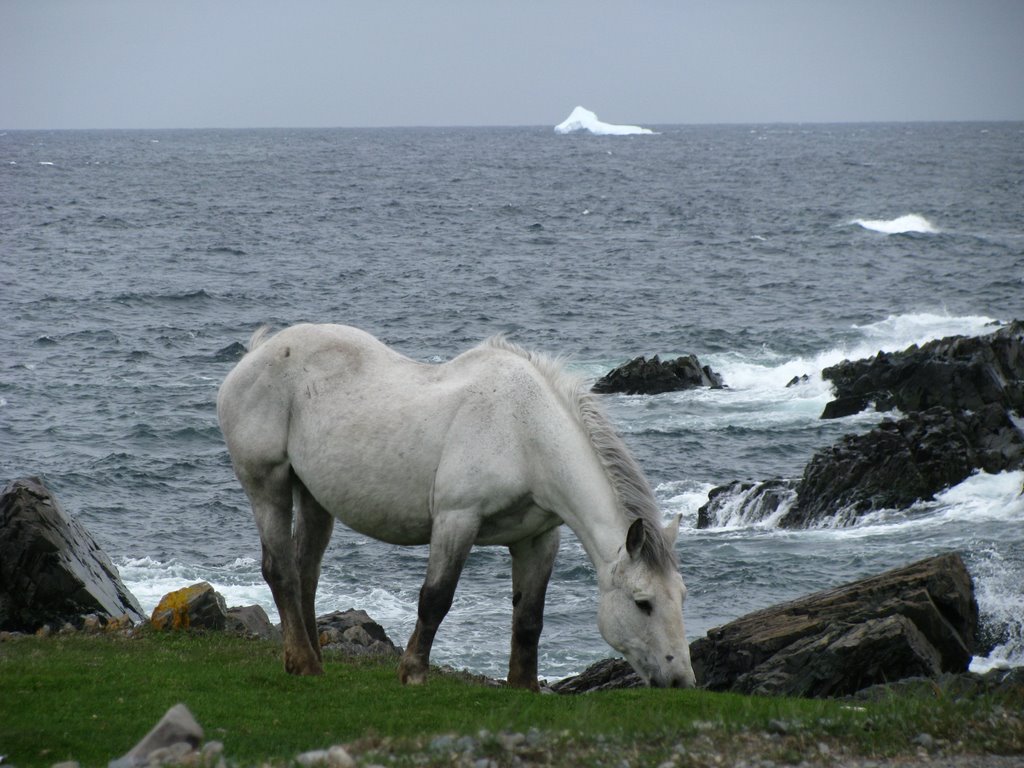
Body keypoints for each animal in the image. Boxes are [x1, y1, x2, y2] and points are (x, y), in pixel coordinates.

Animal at [216, 325, 696, 692]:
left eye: (681, 597)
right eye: (643, 603)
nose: (681, 680)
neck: (525, 433)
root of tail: (256, 353)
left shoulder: (538, 539)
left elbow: (529, 618)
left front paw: (523, 686)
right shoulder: (456, 520)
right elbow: (435, 599)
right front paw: (412, 673)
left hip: (314, 497)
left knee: (306, 574)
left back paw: (310, 657)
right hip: (268, 486)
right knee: (281, 570)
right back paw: (304, 663)